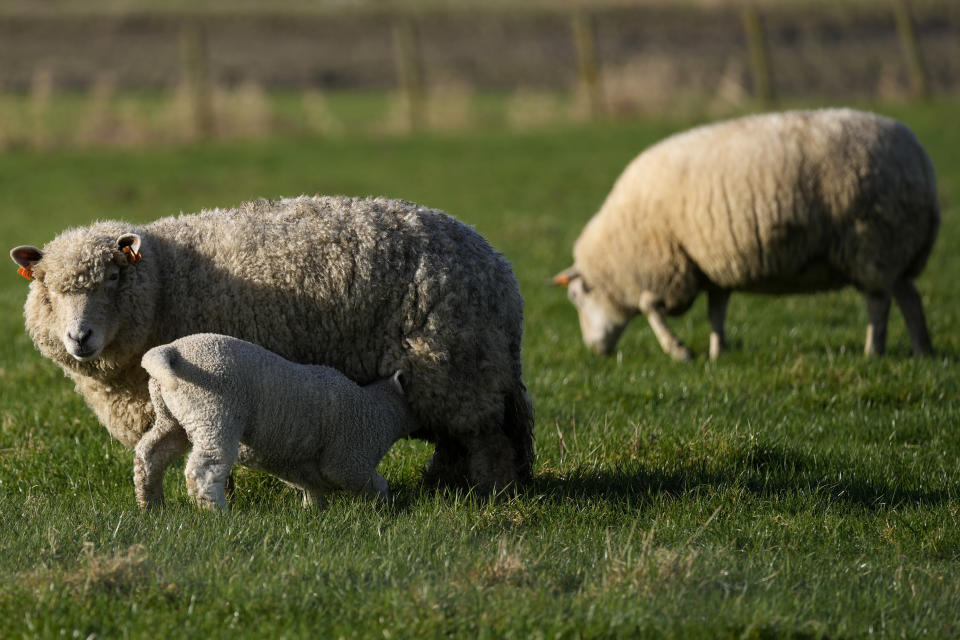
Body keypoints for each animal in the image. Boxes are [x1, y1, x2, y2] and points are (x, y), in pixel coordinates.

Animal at [7, 195, 532, 490]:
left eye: (114, 278)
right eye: (48, 289)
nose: (79, 337)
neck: (165, 280)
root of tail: (499, 268)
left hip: (456, 366)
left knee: (486, 440)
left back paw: (488, 492)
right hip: (459, 373)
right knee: (462, 439)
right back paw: (447, 482)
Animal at [137, 336, 418, 510]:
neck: (376, 413)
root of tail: (171, 350)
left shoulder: (302, 466)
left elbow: (312, 489)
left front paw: (313, 513)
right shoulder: (349, 458)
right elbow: (369, 481)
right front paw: (387, 504)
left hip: (174, 417)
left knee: (149, 455)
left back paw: (151, 506)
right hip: (214, 412)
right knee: (203, 471)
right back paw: (216, 514)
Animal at [556, 109, 936, 360]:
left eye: (576, 298)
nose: (594, 351)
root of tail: (920, 158)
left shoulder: (668, 267)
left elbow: (650, 307)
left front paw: (680, 351)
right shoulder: (710, 266)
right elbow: (716, 311)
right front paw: (717, 352)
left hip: (872, 242)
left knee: (878, 302)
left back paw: (874, 352)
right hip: (897, 248)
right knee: (910, 299)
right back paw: (923, 351)